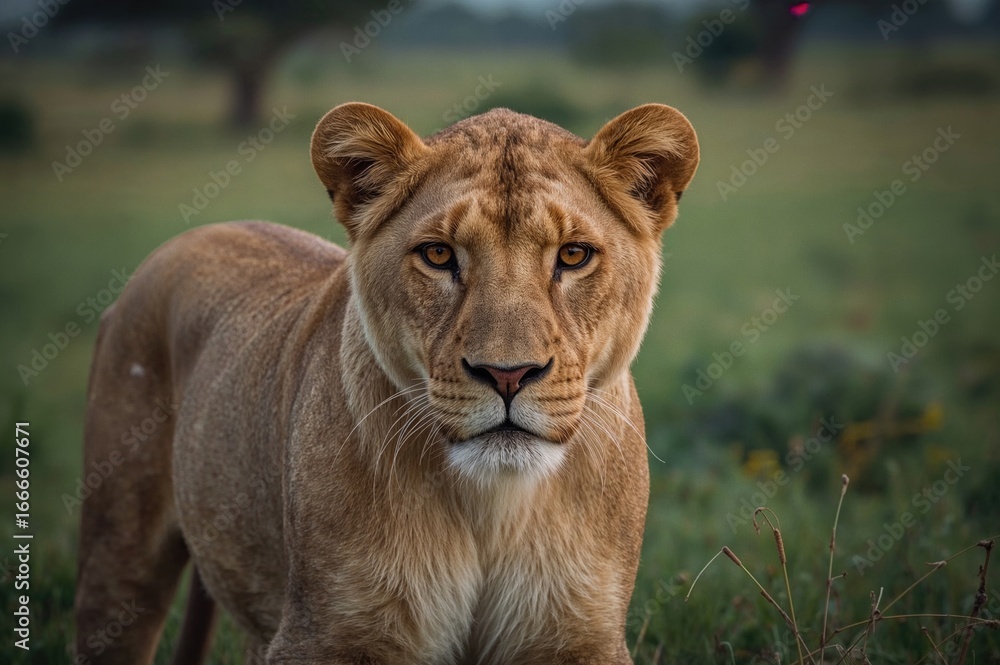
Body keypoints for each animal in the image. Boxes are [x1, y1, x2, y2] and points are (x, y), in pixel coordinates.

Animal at [74, 101, 699, 664]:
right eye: (438, 254)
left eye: (573, 255)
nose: (508, 374)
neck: (490, 508)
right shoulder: (321, 636)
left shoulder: (579, 636)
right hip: (118, 558)